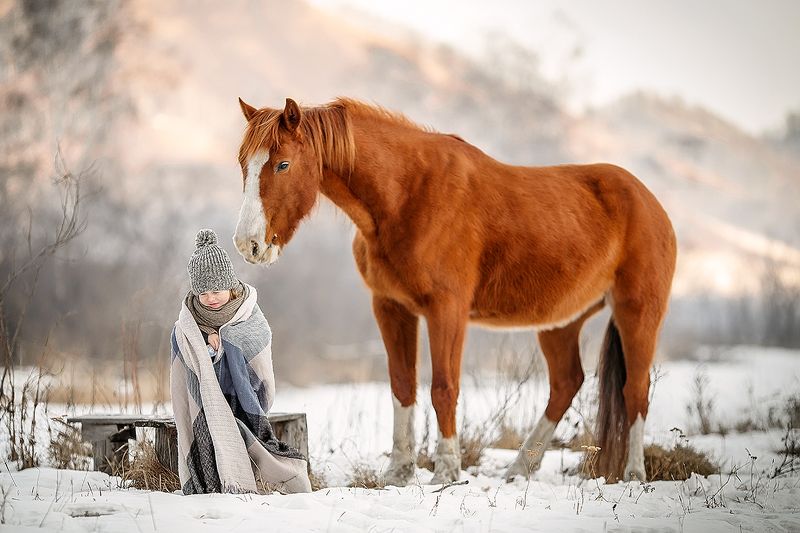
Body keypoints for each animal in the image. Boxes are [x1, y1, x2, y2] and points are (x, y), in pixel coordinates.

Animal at [232, 97, 677, 485]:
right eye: (243, 164)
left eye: (283, 164)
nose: (247, 243)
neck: (408, 195)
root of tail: (650, 203)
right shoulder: (391, 308)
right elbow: (402, 386)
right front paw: (398, 473)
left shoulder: (446, 310)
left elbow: (443, 388)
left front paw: (446, 471)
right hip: (561, 322)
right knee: (566, 384)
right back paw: (519, 469)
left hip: (638, 314)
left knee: (635, 391)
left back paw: (634, 474)